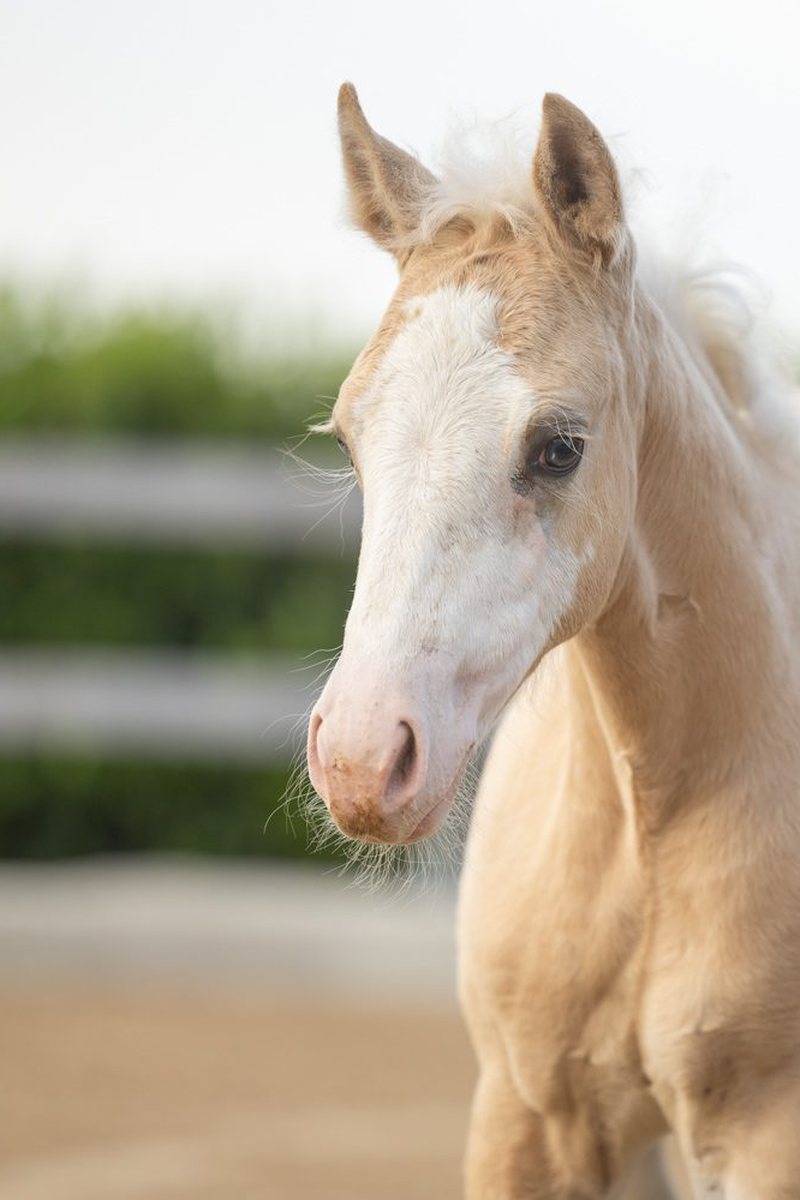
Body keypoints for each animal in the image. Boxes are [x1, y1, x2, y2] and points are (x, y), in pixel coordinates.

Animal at [305, 82, 800, 1198]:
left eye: (558, 447)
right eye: (350, 438)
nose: (360, 760)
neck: (654, 814)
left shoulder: (769, 1136)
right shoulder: (525, 1117)